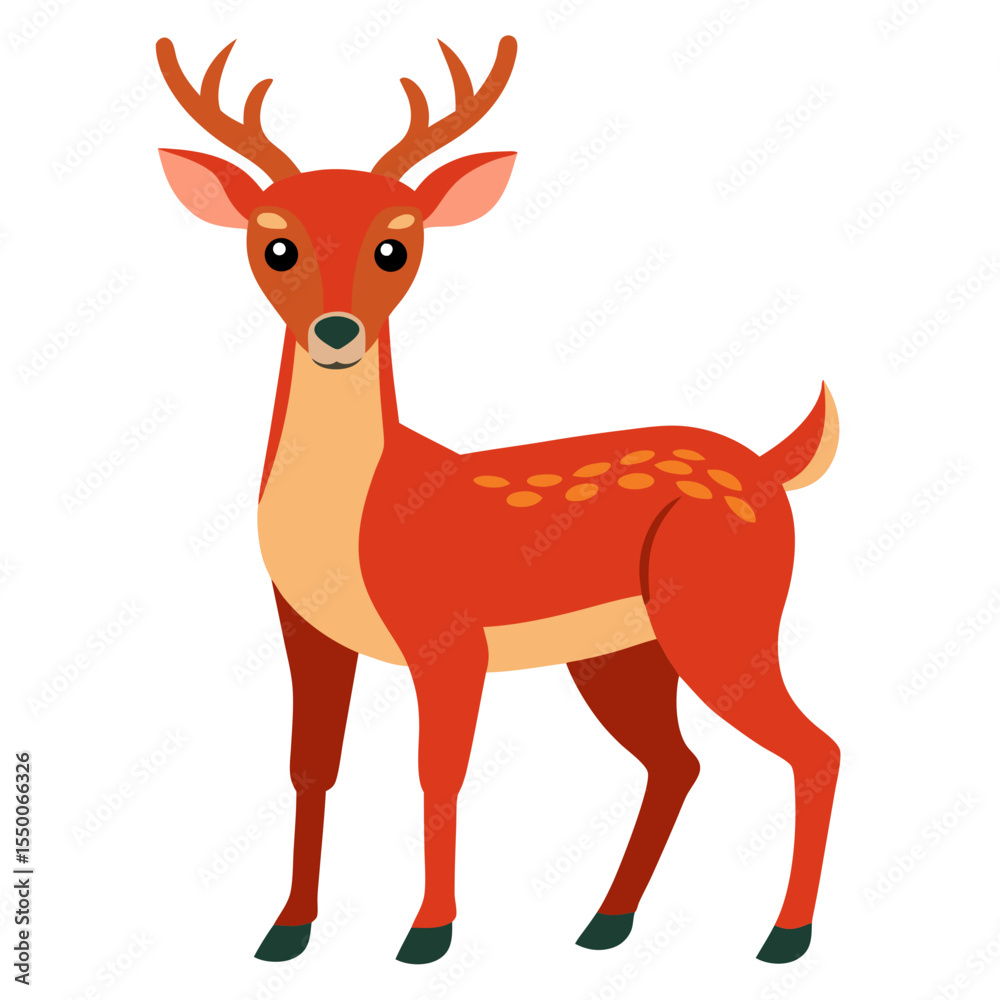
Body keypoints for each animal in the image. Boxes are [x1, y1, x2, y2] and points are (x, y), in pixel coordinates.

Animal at [155, 35, 841, 967]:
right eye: (277, 247)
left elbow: (437, 770)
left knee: (815, 748)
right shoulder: (303, 626)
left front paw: (428, 933)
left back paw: (785, 937)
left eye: (395, 248)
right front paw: (286, 930)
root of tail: (773, 468)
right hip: (622, 651)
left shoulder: (448, 634)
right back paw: (606, 924)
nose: (337, 332)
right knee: (678, 763)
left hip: (722, 614)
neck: (358, 518)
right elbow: (309, 765)